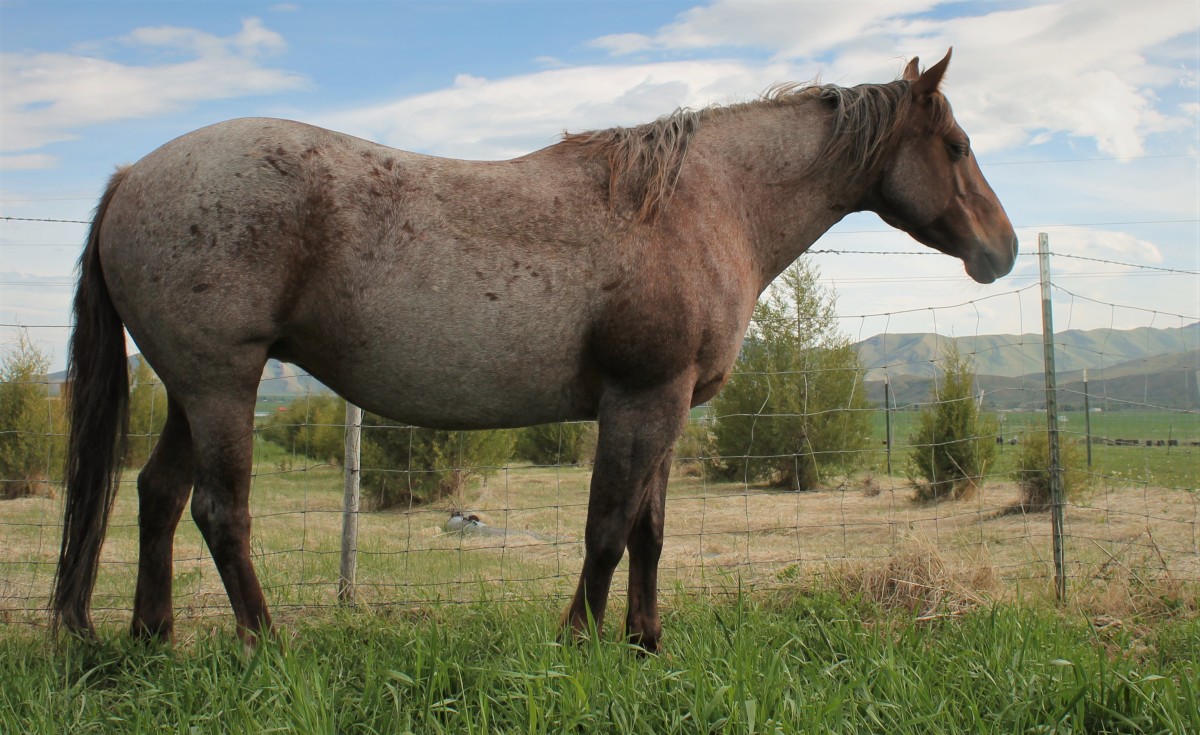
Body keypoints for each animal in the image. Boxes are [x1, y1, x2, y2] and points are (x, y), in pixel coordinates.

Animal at [56, 50, 1012, 648]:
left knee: (156, 495)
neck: (702, 204)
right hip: (223, 384)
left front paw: (646, 642)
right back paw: (264, 644)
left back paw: (151, 637)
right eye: (958, 145)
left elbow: (649, 530)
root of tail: (132, 177)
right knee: (220, 512)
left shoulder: (668, 407)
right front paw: (579, 639)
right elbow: (607, 528)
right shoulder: (640, 399)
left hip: (194, 389)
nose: (1000, 250)